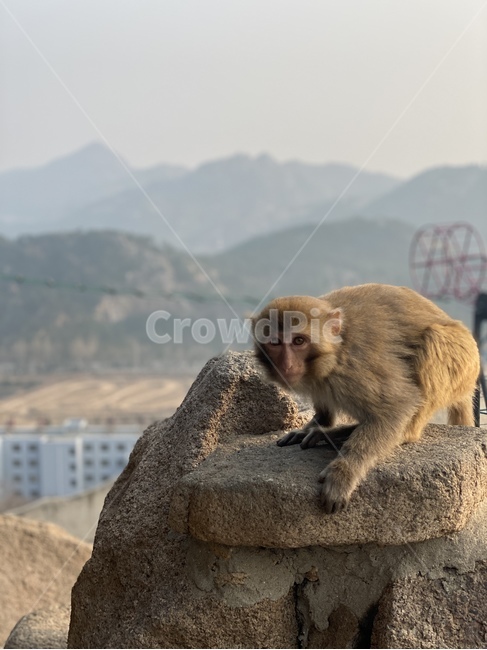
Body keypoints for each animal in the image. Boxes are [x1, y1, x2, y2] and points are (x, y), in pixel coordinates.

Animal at [252, 283, 480, 514]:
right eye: (275, 343)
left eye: (299, 341)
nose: (287, 365)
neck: (336, 350)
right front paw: (316, 424)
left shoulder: (356, 367)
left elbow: (398, 406)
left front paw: (344, 471)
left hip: (465, 361)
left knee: (433, 339)